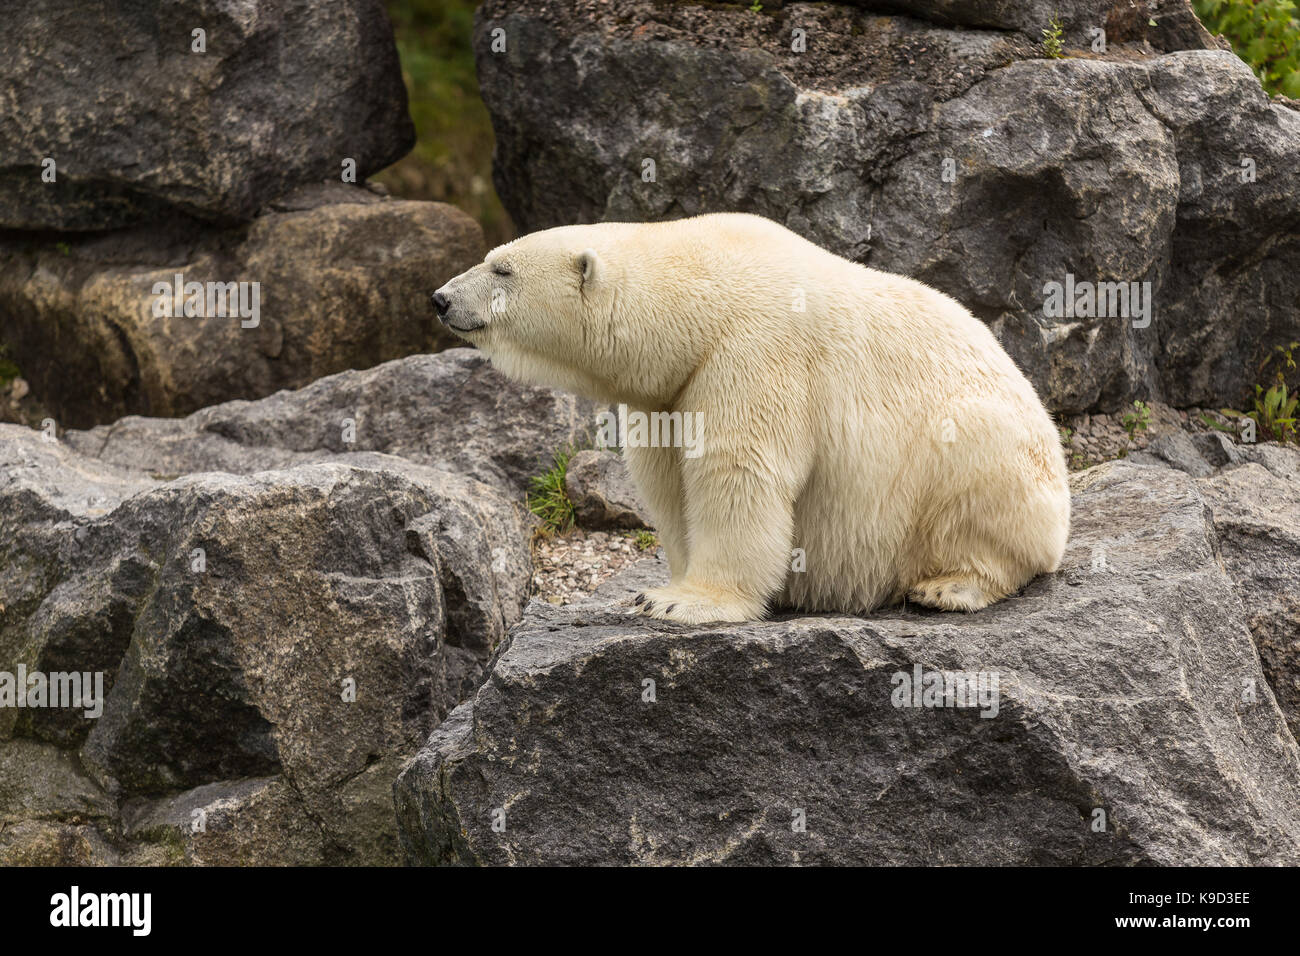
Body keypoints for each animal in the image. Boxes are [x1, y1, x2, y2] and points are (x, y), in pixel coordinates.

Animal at [431, 213, 1071, 624]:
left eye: (502, 269)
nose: (440, 298)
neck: (699, 297)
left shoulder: (755, 349)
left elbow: (737, 470)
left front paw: (682, 602)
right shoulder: (667, 392)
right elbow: (666, 482)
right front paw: (663, 586)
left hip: (987, 450)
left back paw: (949, 586)